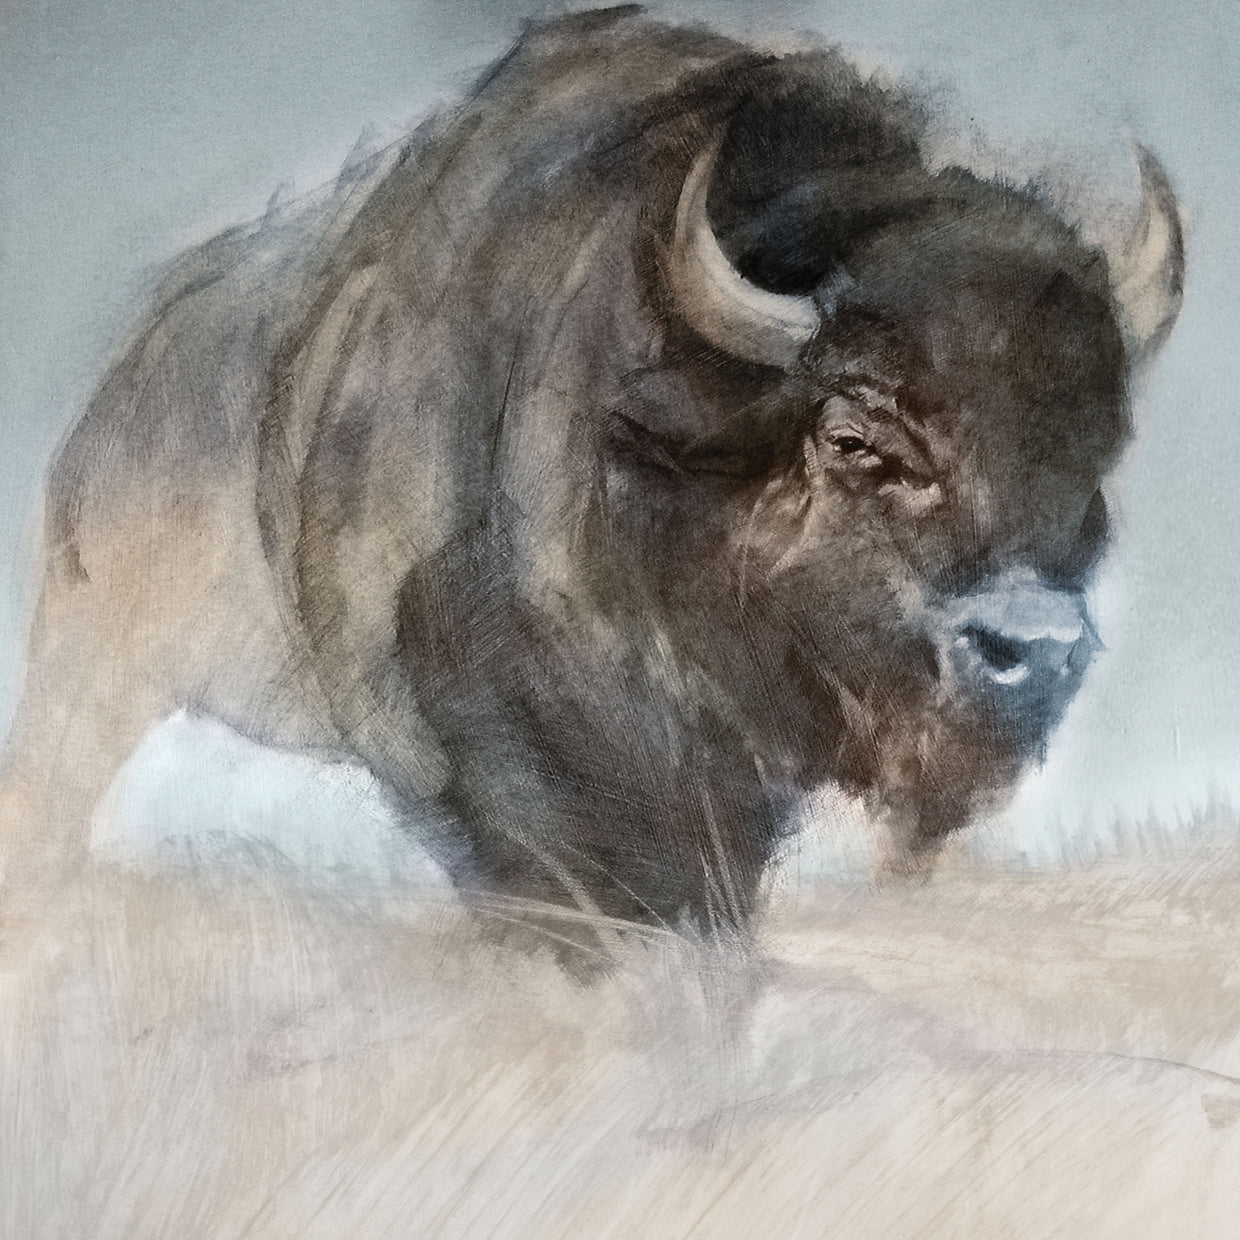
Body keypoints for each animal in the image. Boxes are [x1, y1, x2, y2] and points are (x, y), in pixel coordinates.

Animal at [0, 7, 1182, 933]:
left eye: (1096, 451)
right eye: (855, 438)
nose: (1036, 651)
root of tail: (115, 392)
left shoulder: (723, 795)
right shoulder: (484, 775)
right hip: (92, 664)